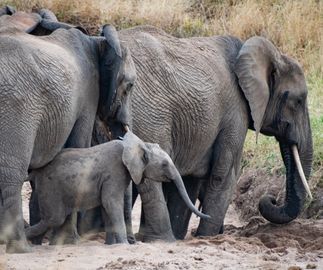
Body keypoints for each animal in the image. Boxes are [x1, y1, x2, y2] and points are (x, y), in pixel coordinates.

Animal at [0, 23, 137, 253]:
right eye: (130, 86)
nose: (133, 242)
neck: (96, 41)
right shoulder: (88, 95)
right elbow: (77, 145)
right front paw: (68, 241)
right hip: (16, 108)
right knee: (12, 174)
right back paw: (22, 248)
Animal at [24, 132, 208, 246]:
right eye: (164, 164)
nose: (206, 215)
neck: (137, 144)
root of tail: (35, 172)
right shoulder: (114, 171)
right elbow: (111, 203)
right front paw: (125, 245)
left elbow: (107, 208)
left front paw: (112, 245)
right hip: (50, 188)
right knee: (54, 218)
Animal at [114, 25, 314, 240]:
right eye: (298, 101)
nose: (270, 200)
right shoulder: (236, 111)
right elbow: (225, 174)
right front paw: (205, 237)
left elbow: (189, 179)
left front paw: (183, 236)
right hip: (149, 112)